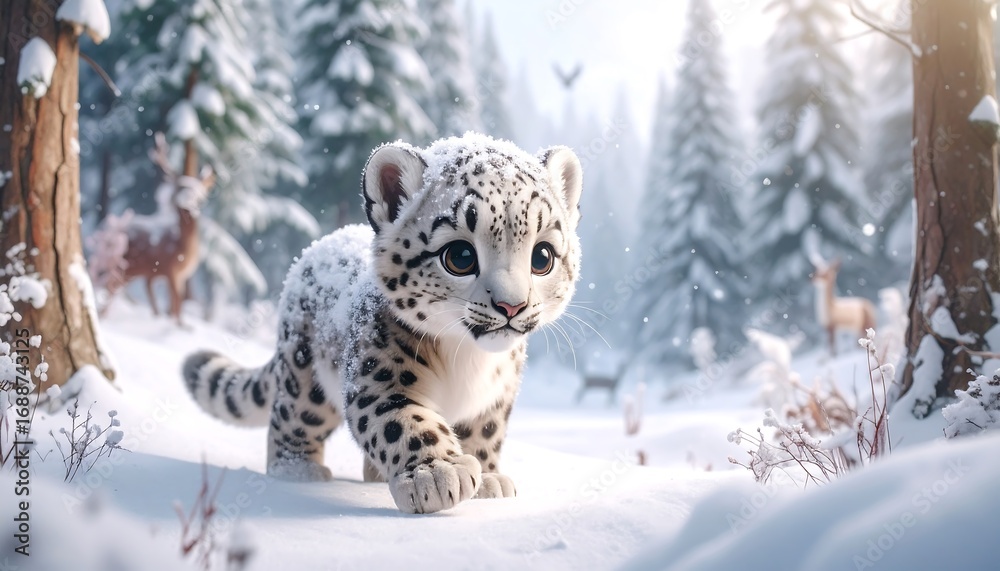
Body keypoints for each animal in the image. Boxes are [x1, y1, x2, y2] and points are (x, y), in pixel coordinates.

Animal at [182, 132, 583, 514]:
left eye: (542, 256)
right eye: (460, 256)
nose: (511, 305)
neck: (470, 359)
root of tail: (312, 252)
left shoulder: (495, 398)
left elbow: (486, 432)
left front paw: (487, 479)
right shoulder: (379, 376)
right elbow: (401, 421)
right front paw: (437, 474)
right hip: (304, 376)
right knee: (292, 417)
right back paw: (298, 471)